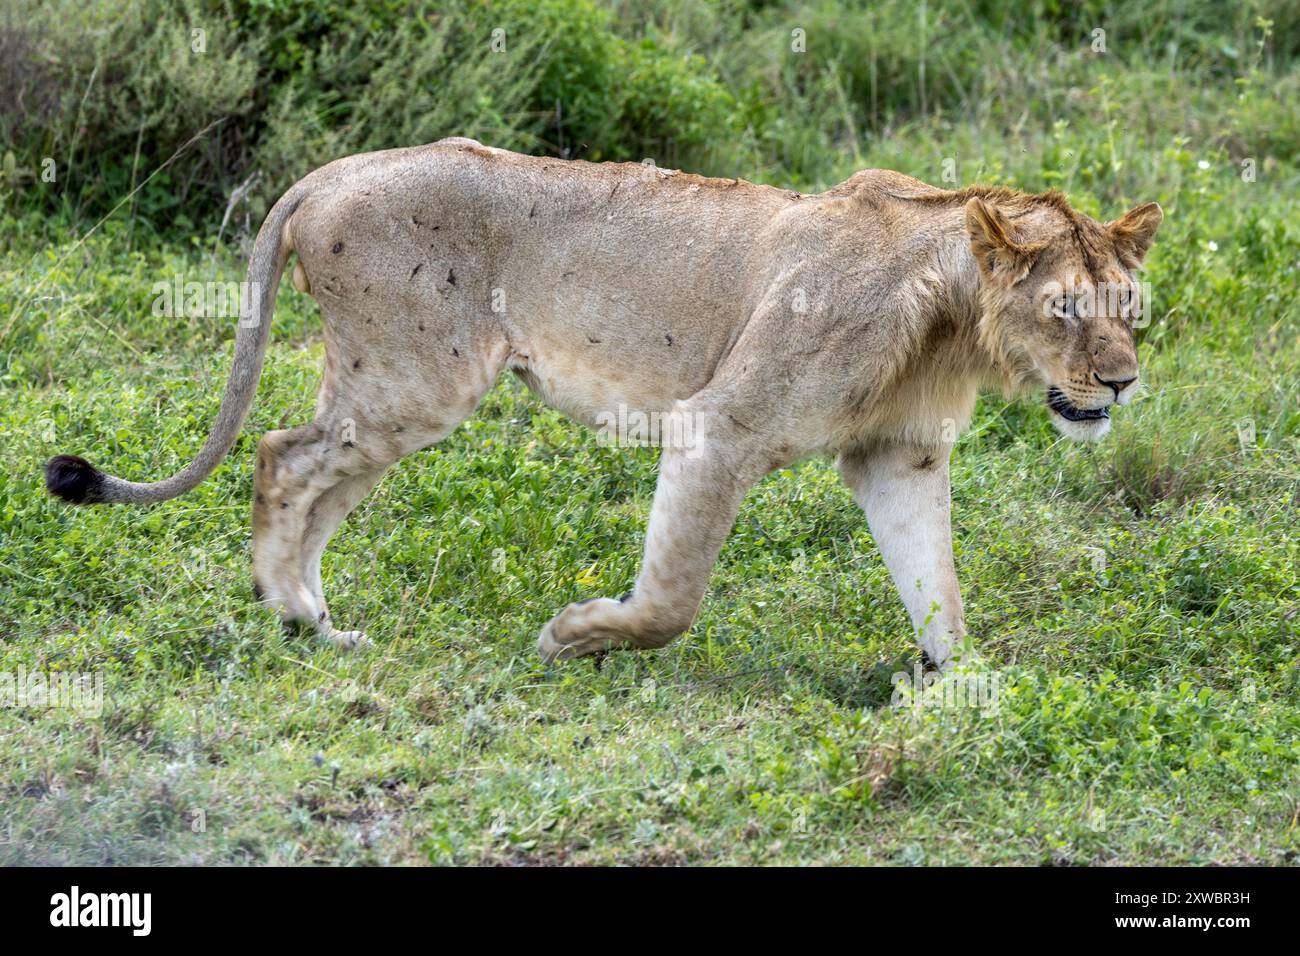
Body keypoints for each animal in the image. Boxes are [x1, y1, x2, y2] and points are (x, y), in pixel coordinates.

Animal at [45, 138, 1161, 668]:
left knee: (309, 476)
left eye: (1131, 309)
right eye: (1065, 307)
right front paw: (575, 636)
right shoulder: (720, 428)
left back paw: (314, 624)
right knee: (281, 454)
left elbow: (940, 590)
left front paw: (966, 696)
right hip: (417, 380)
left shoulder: (898, 456)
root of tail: (329, 171)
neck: (951, 316)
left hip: (391, 388)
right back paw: (295, 616)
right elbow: (670, 599)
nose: (1120, 382)